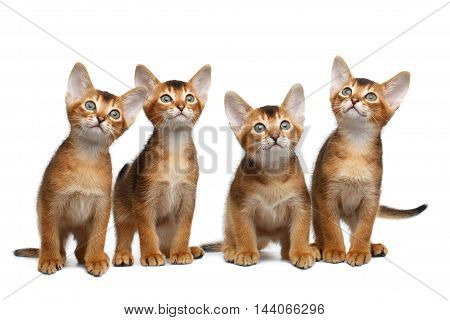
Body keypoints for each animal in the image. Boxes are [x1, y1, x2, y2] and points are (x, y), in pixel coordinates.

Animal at [13, 62, 146, 276]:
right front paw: (49, 260)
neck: (87, 159)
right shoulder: (50, 202)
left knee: (78, 249)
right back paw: (56, 256)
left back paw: (91, 257)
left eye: (114, 114)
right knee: (59, 244)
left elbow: (99, 237)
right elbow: (49, 236)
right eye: (90, 105)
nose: (100, 118)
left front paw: (96, 259)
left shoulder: (102, 205)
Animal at [112, 63, 211, 266]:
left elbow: (184, 229)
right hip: (122, 210)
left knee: (166, 245)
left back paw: (188, 249)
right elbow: (147, 231)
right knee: (124, 234)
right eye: (166, 98)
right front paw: (150, 254)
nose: (181, 106)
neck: (175, 151)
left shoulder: (188, 196)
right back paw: (123, 255)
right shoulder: (144, 198)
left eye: (189, 98)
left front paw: (181, 252)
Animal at [204, 85, 320, 270]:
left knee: (284, 250)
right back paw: (231, 250)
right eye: (259, 127)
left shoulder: (301, 203)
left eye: (284, 124)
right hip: (228, 218)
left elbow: (301, 230)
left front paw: (302, 252)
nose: (275, 135)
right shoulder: (239, 204)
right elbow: (243, 230)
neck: (273, 174)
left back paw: (305, 250)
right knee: (228, 238)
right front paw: (245, 252)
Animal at [312, 56, 428, 266]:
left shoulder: (371, 197)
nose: (354, 99)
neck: (356, 147)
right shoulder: (327, 194)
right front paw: (334, 250)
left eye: (371, 96)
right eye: (347, 91)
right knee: (319, 229)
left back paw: (371, 247)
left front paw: (359, 251)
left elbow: (365, 229)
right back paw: (319, 247)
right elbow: (331, 228)